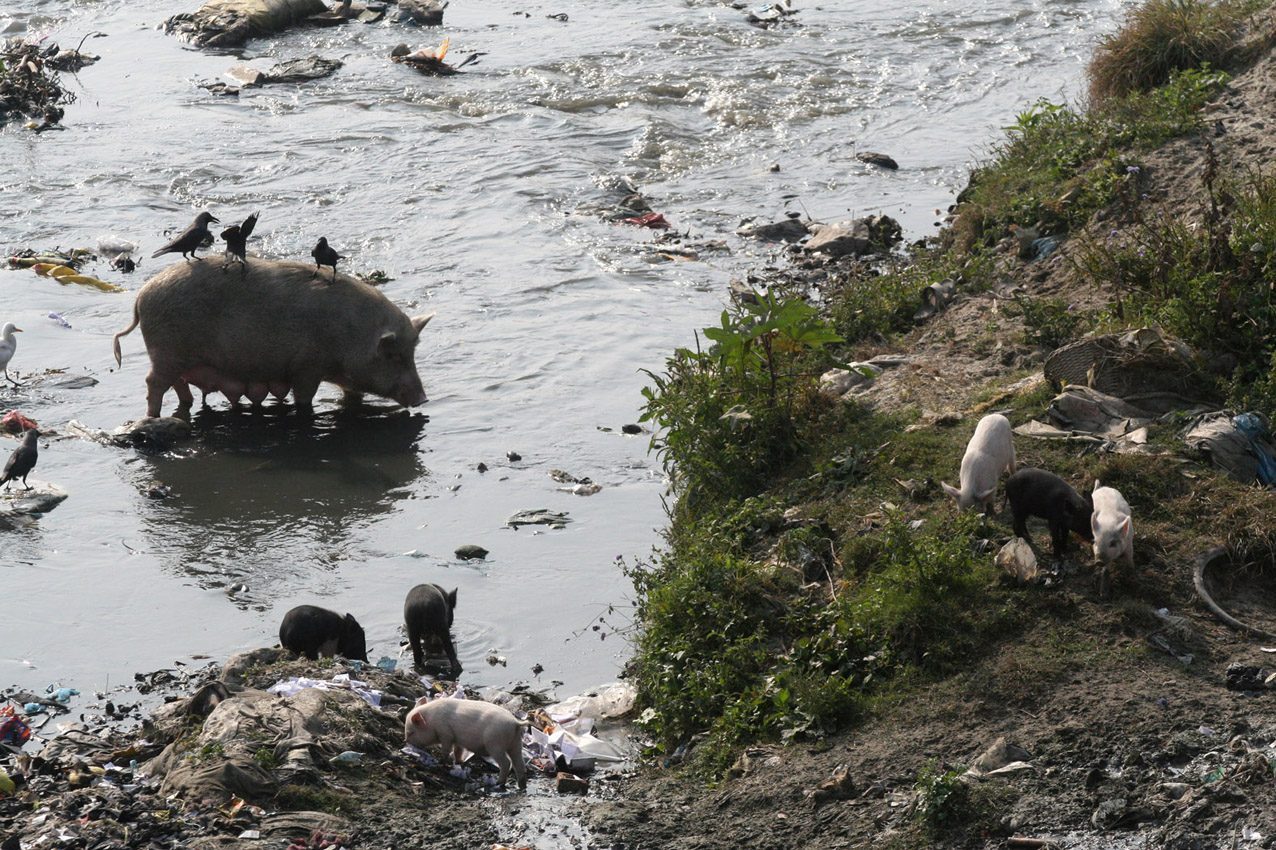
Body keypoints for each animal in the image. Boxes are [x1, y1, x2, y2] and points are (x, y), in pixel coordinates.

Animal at [107, 257, 433, 416]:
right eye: (392, 355)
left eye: (413, 354)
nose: (423, 398)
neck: (350, 335)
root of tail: (141, 297)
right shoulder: (307, 367)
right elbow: (304, 397)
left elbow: (353, 394)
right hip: (167, 352)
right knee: (154, 382)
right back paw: (152, 416)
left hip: (174, 356)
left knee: (178, 383)